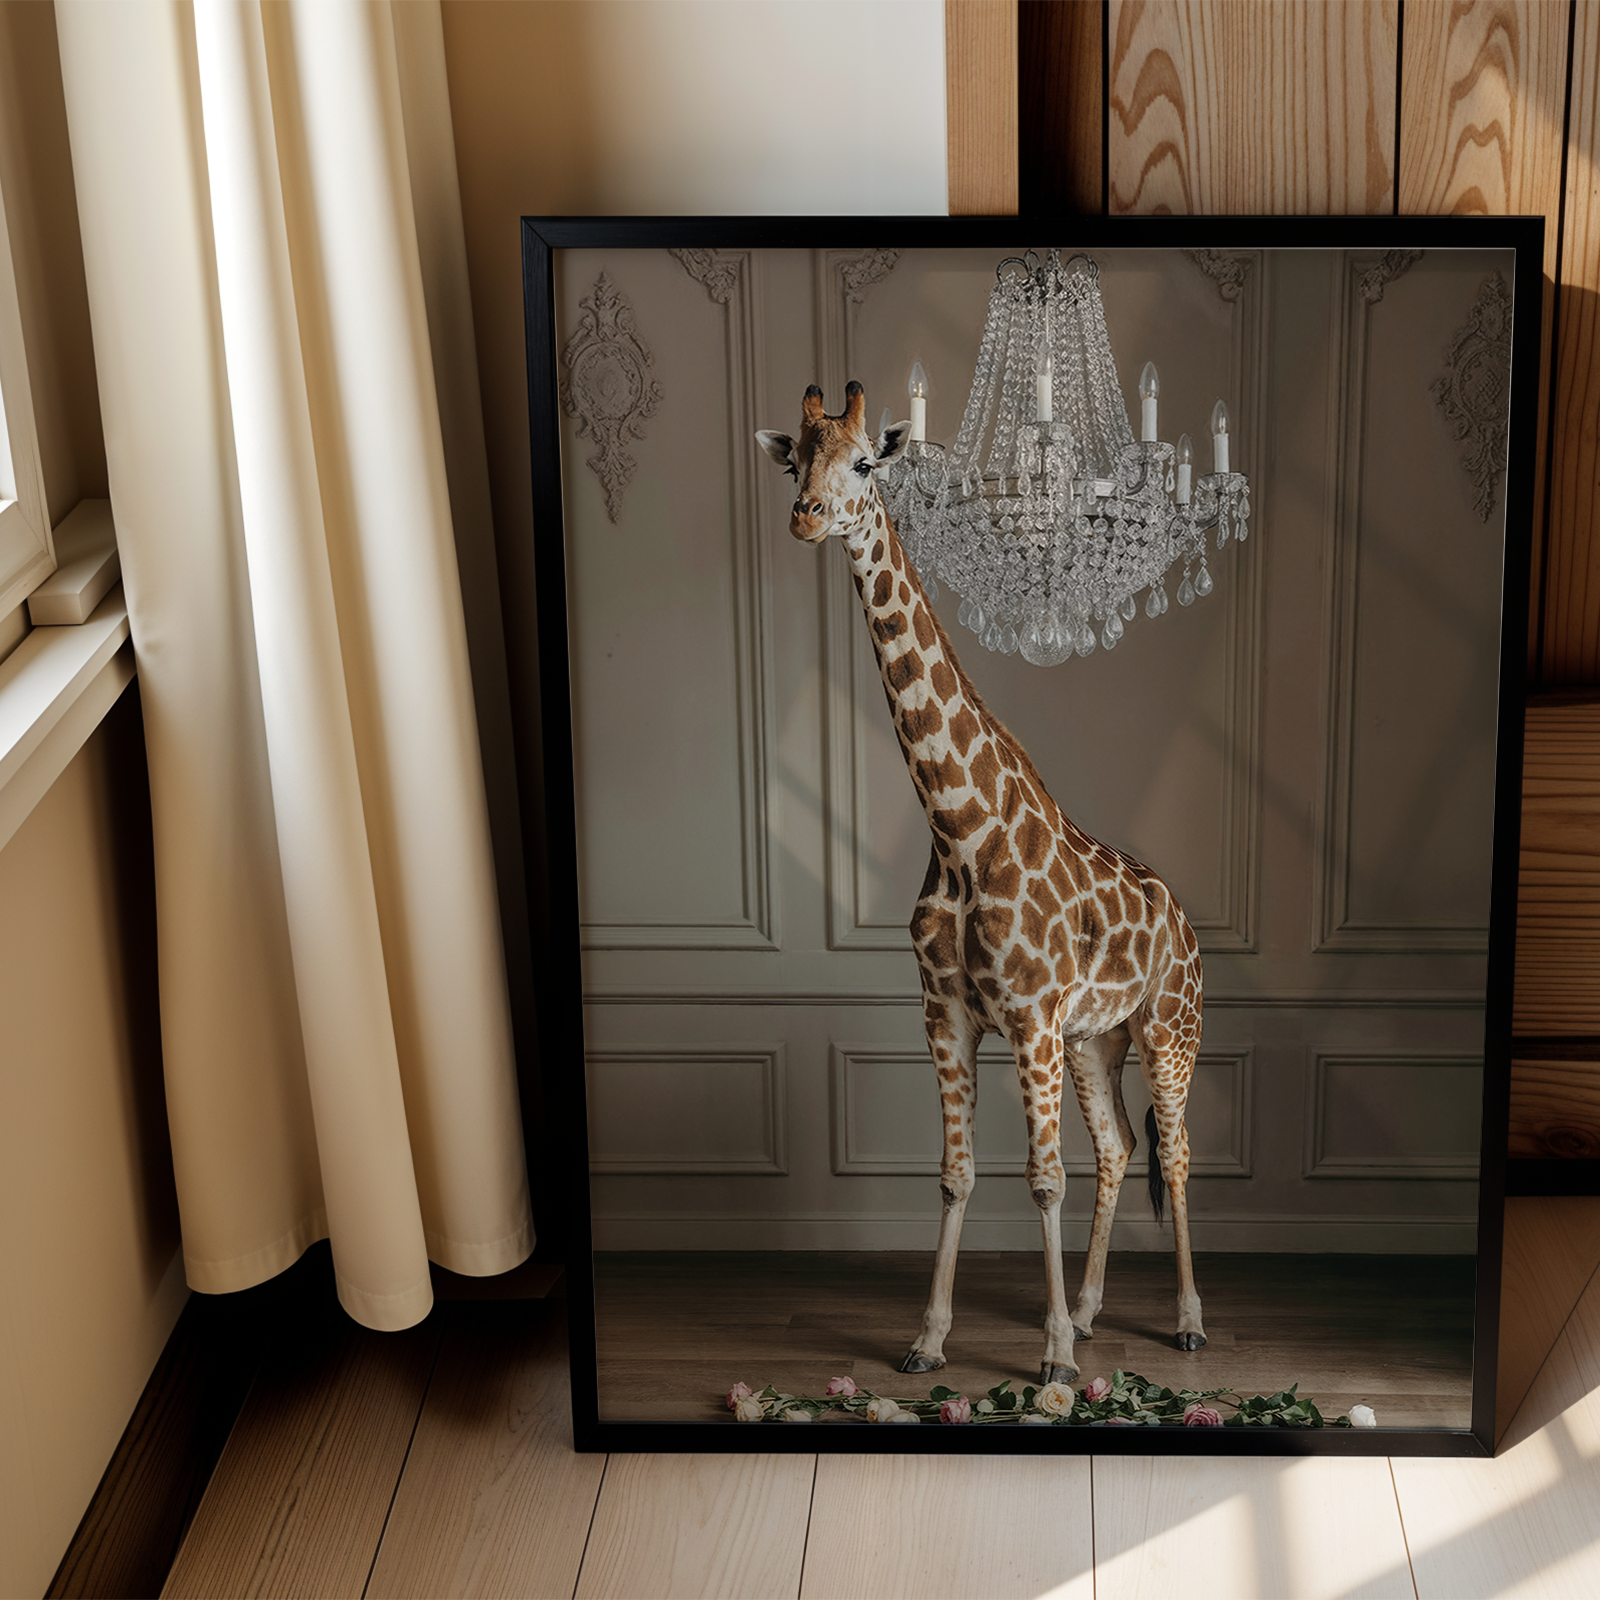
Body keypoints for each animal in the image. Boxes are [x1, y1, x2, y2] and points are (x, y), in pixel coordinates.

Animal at [757, 382, 1207, 1384]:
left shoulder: (1030, 1019)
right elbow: (959, 1173)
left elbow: (1042, 1179)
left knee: (1176, 1151)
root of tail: (1185, 917)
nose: (805, 518)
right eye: (795, 457)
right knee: (1120, 1149)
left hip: (1168, 1029)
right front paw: (929, 1340)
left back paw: (1188, 1321)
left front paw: (1052, 1360)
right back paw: (1090, 1310)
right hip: (1098, 1041)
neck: (959, 830)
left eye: (864, 463)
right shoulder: (948, 1015)